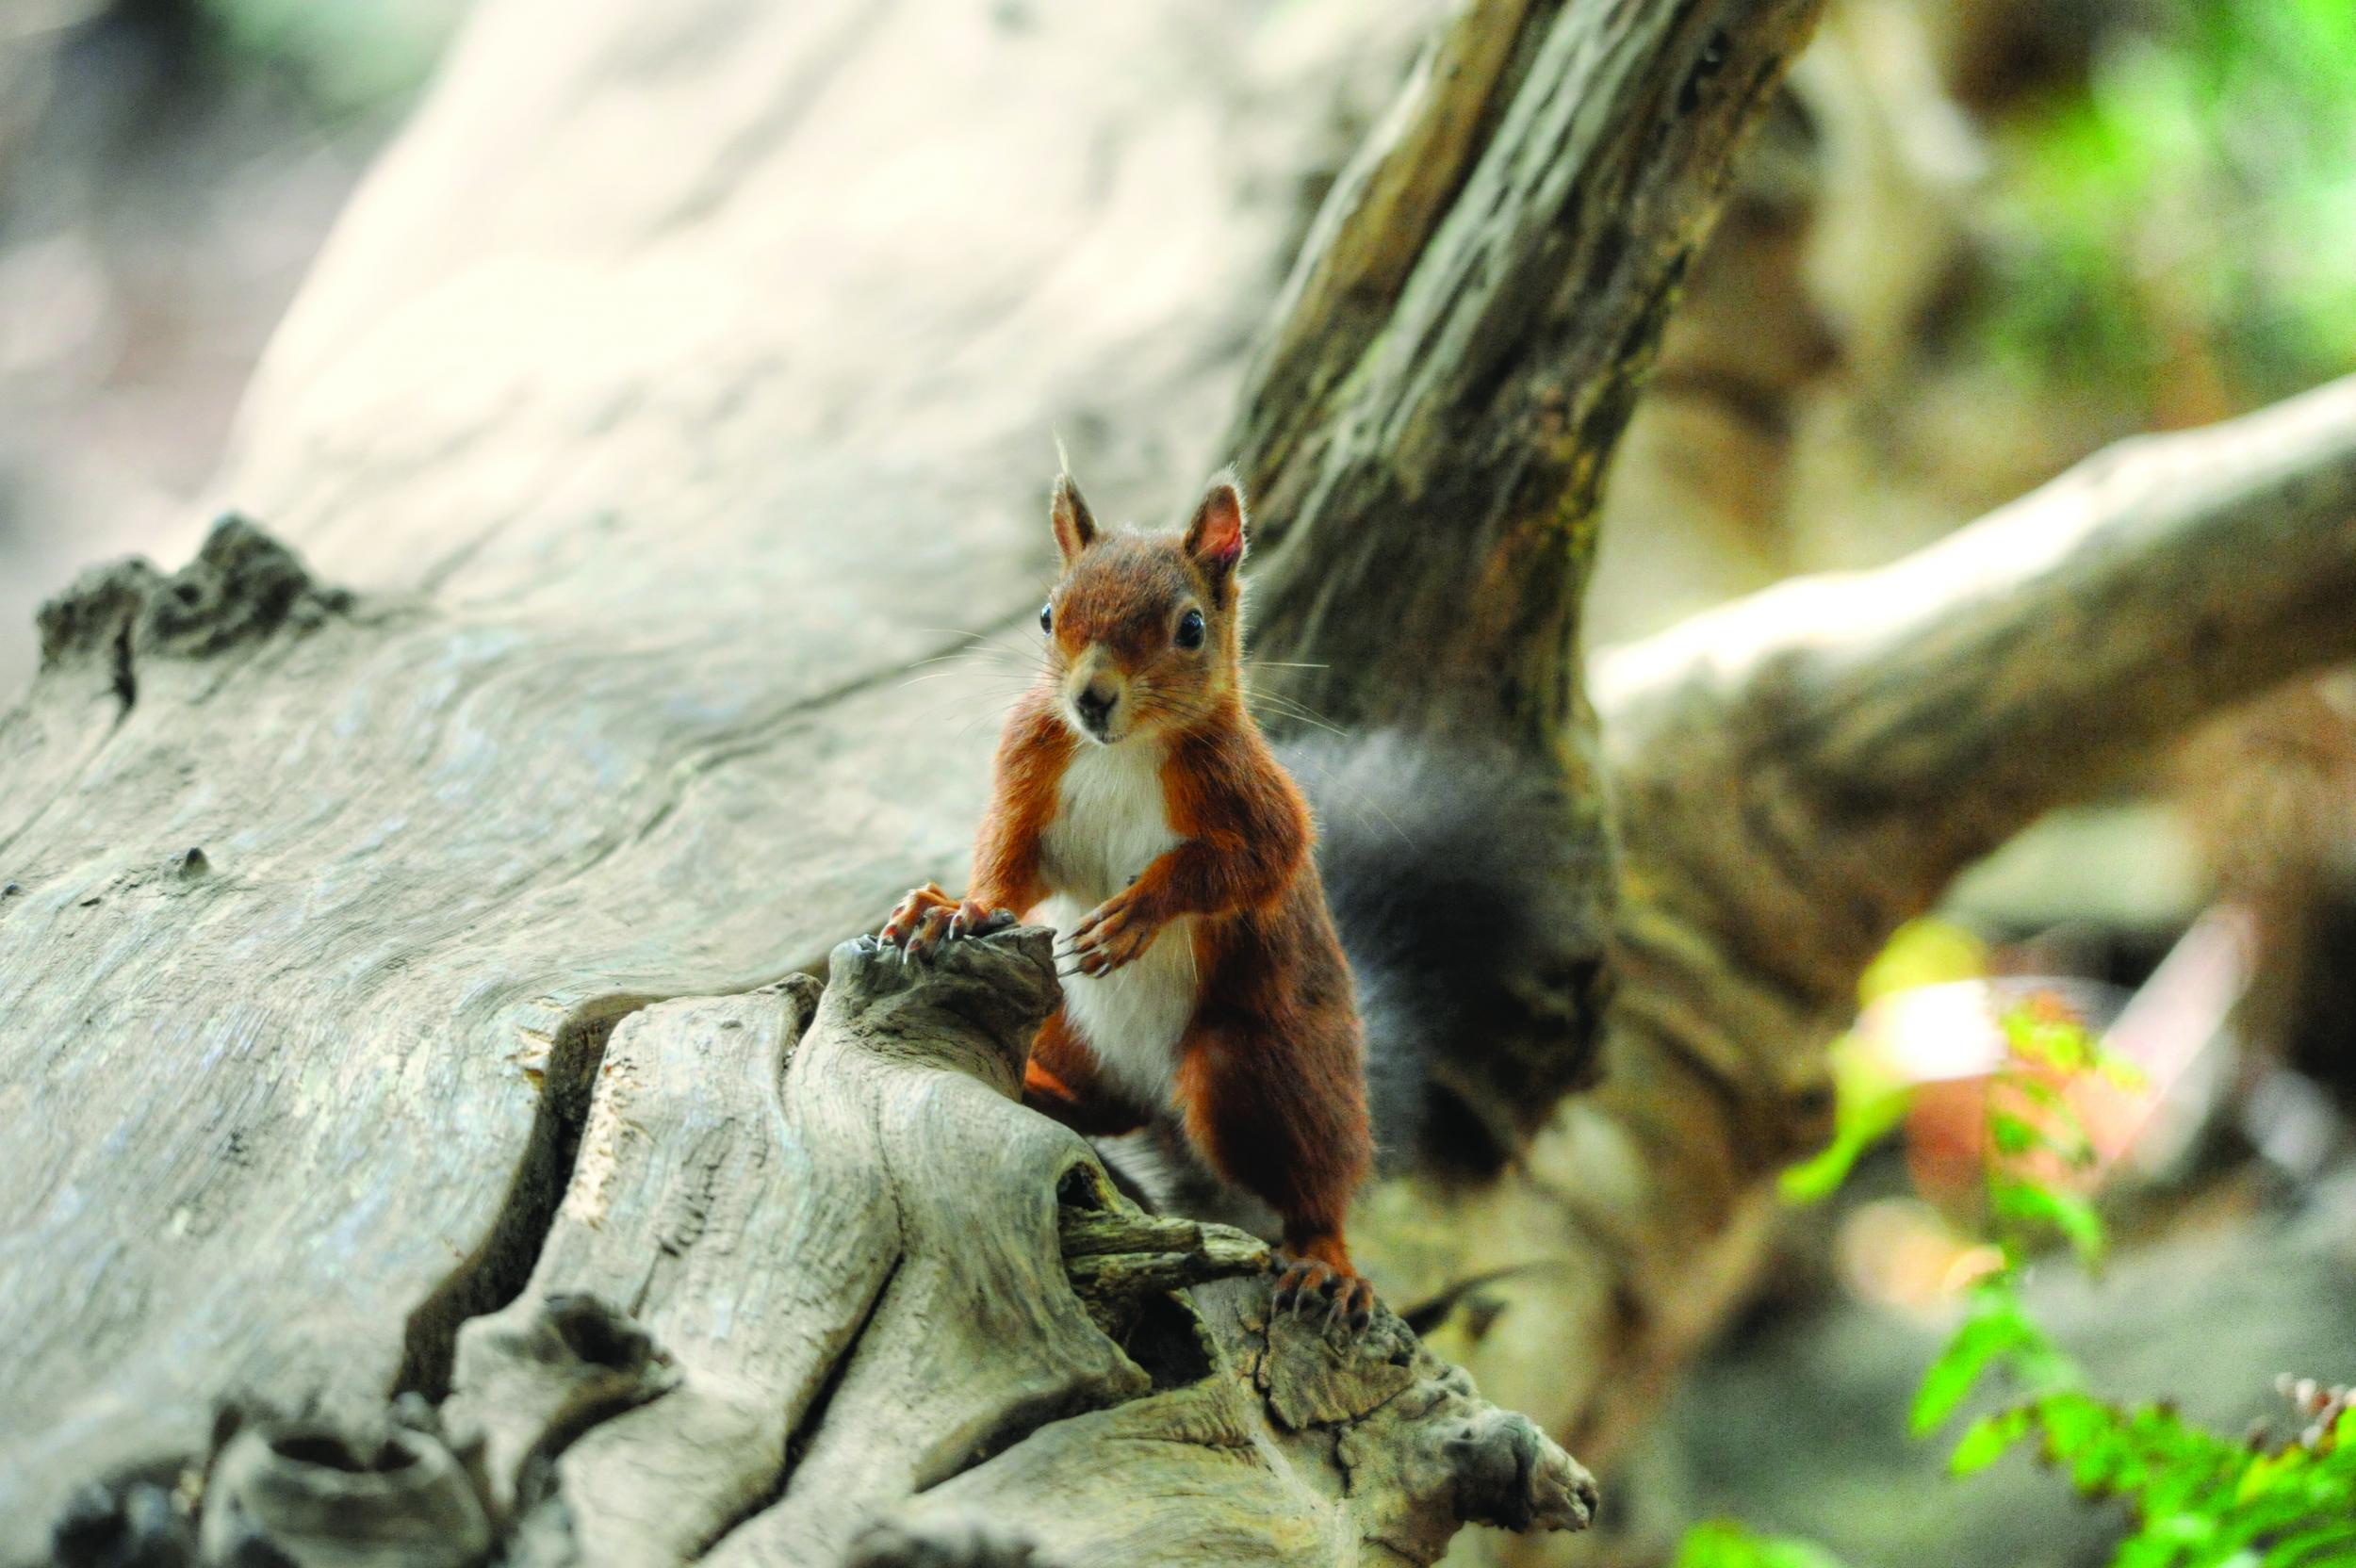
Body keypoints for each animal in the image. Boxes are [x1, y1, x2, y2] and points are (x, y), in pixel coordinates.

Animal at [876, 464, 1376, 1318]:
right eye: (1049, 614)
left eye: (1191, 628)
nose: (1092, 697)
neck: (1121, 750)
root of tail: (1152, 1092)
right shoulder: (1031, 766)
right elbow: (1009, 860)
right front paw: (956, 907)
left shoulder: (1253, 798)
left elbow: (1253, 863)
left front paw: (1137, 912)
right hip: (1065, 1029)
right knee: (1097, 1107)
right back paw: (1035, 1086)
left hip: (1265, 1067)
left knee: (1313, 1172)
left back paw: (1323, 1257)